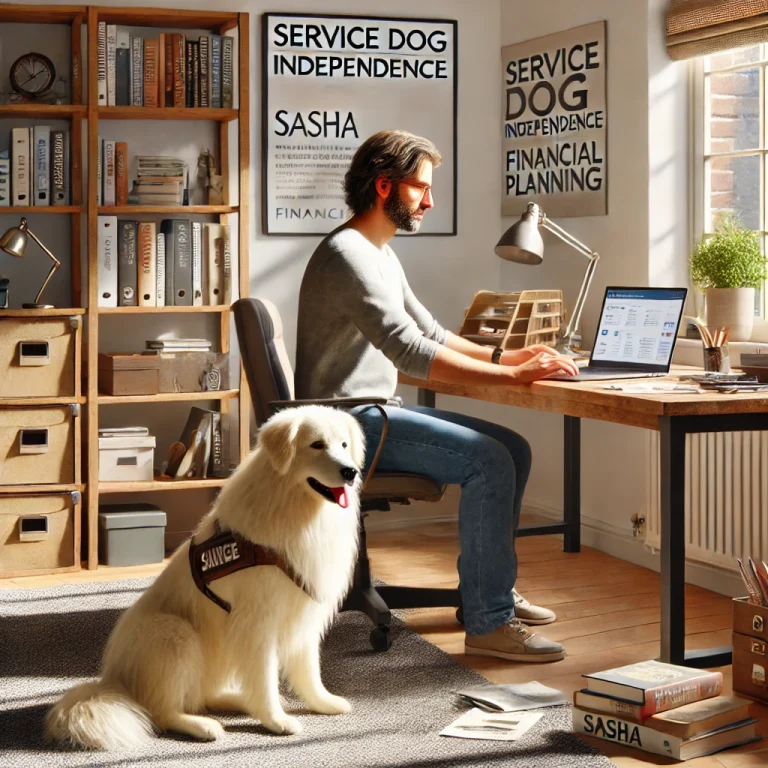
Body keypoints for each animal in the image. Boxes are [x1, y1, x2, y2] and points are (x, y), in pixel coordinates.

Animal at [46, 408, 364, 752]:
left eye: (344, 444)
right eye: (317, 444)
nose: (351, 472)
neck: (298, 508)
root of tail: (112, 682)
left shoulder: (303, 610)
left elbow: (308, 669)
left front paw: (323, 702)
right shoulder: (257, 622)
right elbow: (265, 677)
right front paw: (276, 720)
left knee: (202, 696)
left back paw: (236, 702)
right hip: (175, 634)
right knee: (161, 712)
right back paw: (202, 725)